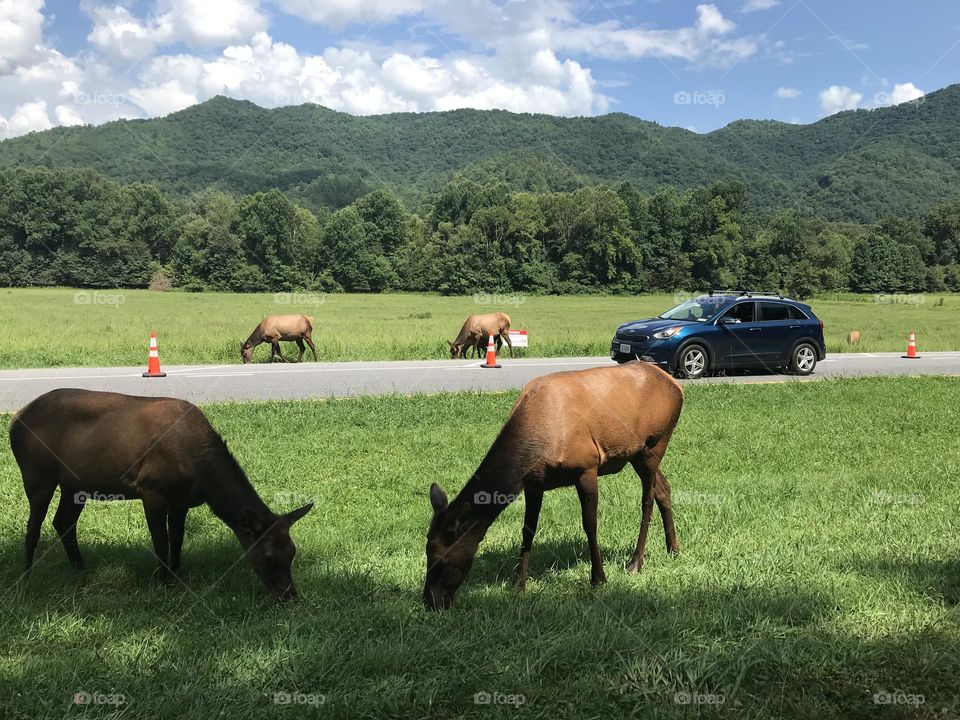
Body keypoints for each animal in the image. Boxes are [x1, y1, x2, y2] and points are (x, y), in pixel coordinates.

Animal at [9, 390, 314, 600]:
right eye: (269, 556)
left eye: (292, 552)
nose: (290, 595)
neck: (203, 476)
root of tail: (15, 420)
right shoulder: (150, 487)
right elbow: (160, 539)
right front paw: (161, 580)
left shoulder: (182, 499)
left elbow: (177, 537)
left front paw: (178, 573)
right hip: (37, 473)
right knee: (34, 526)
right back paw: (26, 575)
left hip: (74, 484)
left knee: (63, 522)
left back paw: (80, 569)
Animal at [422, 360, 684, 608]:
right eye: (426, 552)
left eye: (440, 560)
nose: (430, 602)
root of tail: (677, 386)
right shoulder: (534, 484)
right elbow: (528, 529)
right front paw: (519, 582)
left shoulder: (587, 467)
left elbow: (590, 524)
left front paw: (598, 578)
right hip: (636, 455)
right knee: (663, 488)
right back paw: (673, 548)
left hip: (655, 443)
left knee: (647, 499)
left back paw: (636, 562)